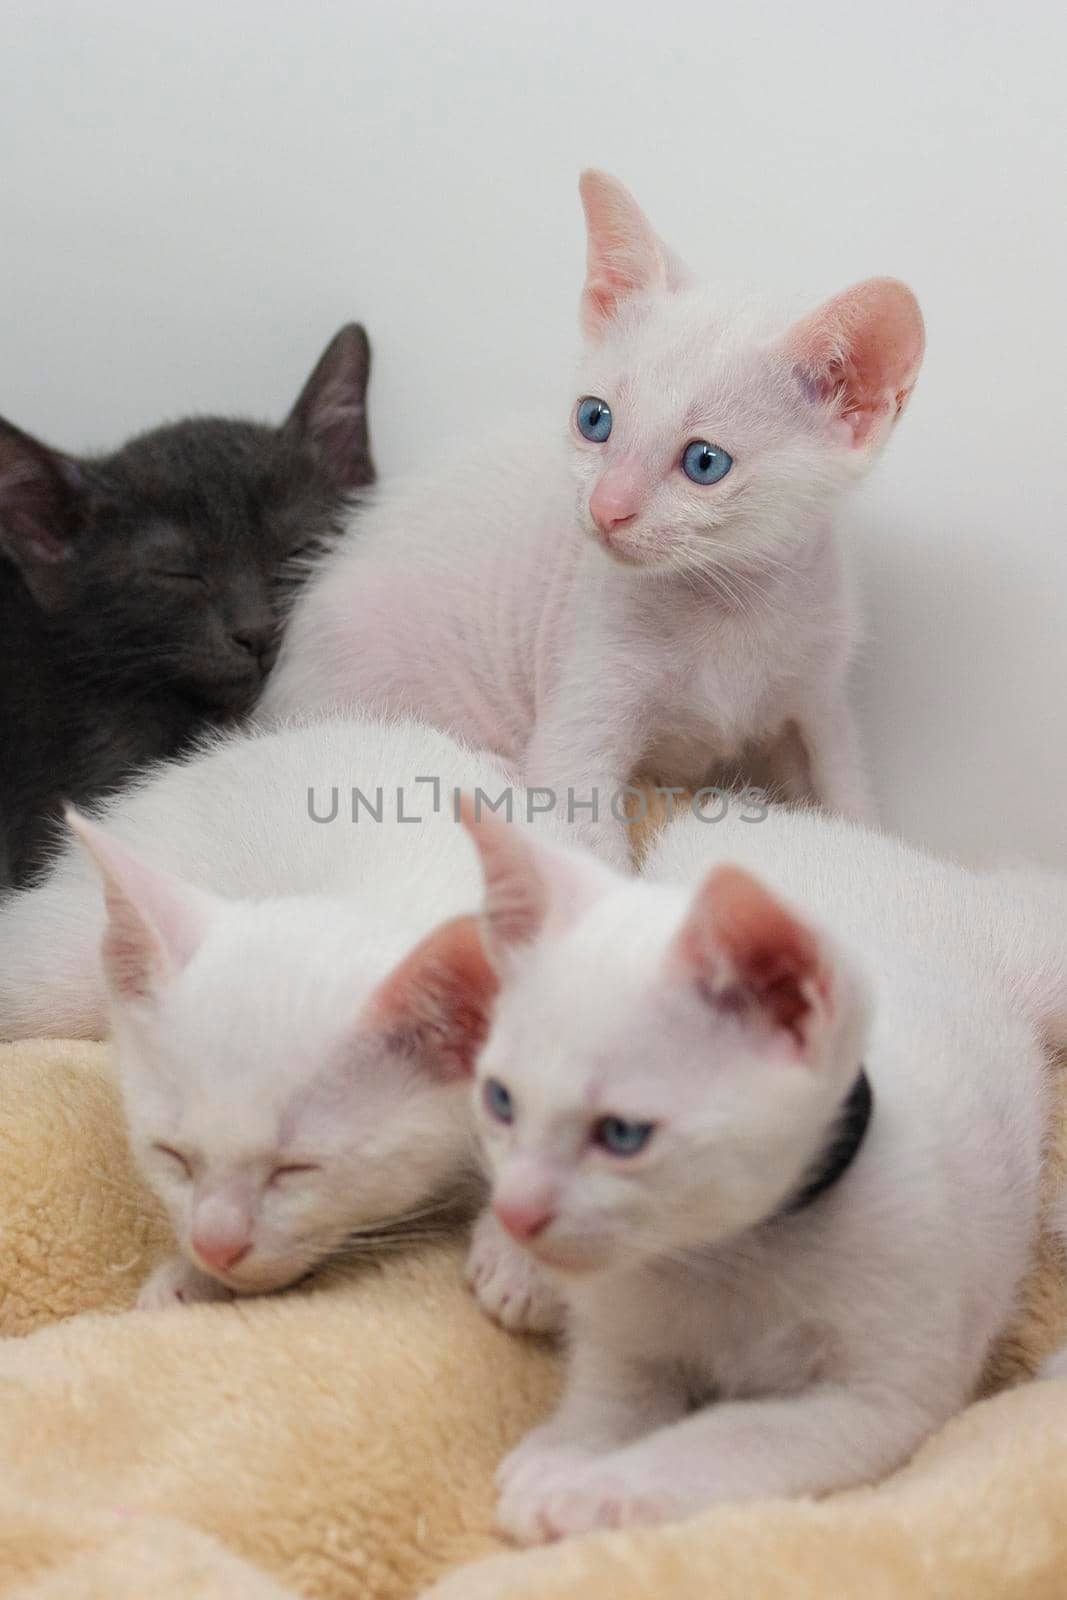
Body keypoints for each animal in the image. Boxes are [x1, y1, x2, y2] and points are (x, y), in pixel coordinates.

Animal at [260, 170, 927, 864]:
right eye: (595, 420)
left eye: (705, 462)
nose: (606, 507)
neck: (732, 605)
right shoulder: (582, 710)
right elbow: (587, 840)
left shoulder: (820, 699)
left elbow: (852, 807)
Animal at [454, 806, 1067, 1542]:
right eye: (500, 1100)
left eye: (622, 1135)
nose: (518, 1213)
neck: (728, 1253)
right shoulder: (626, 1329)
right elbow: (615, 1386)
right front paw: (572, 1446)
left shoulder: (881, 1396)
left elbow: (732, 1437)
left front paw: (593, 1488)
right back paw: (516, 1269)